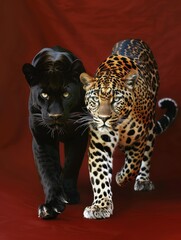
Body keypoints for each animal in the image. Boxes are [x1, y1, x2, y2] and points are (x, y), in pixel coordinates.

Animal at [21, 45, 88, 219]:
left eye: (66, 94)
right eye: (44, 94)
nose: (55, 115)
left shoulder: (78, 138)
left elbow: (71, 165)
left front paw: (69, 194)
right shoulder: (42, 140)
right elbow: (48, 172)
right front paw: (51, 205)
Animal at [79, 38, 178, 219]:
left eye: (116, 99)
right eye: (95, 99)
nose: (103, 119)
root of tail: (134, 39)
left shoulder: (139, 139)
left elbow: (133, 165)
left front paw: (120, 178)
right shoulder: (99, 145)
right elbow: (100, 175)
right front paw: (101, 206)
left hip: (150, 128)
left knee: (145, 156)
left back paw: (143, 180)